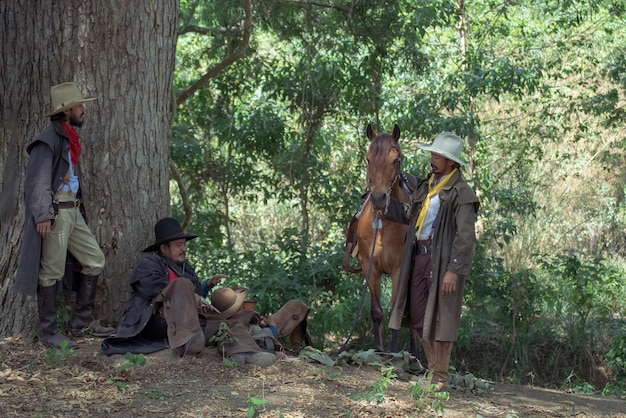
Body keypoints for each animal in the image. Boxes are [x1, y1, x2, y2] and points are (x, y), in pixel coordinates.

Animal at [348, 124, 416, 352]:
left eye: (396, 160)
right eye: (368, 159)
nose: (378, 199)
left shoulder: (399, 271)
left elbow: (396, 312)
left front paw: (393, 352)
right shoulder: (371, 270)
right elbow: (376, 312)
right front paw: (378, 350)